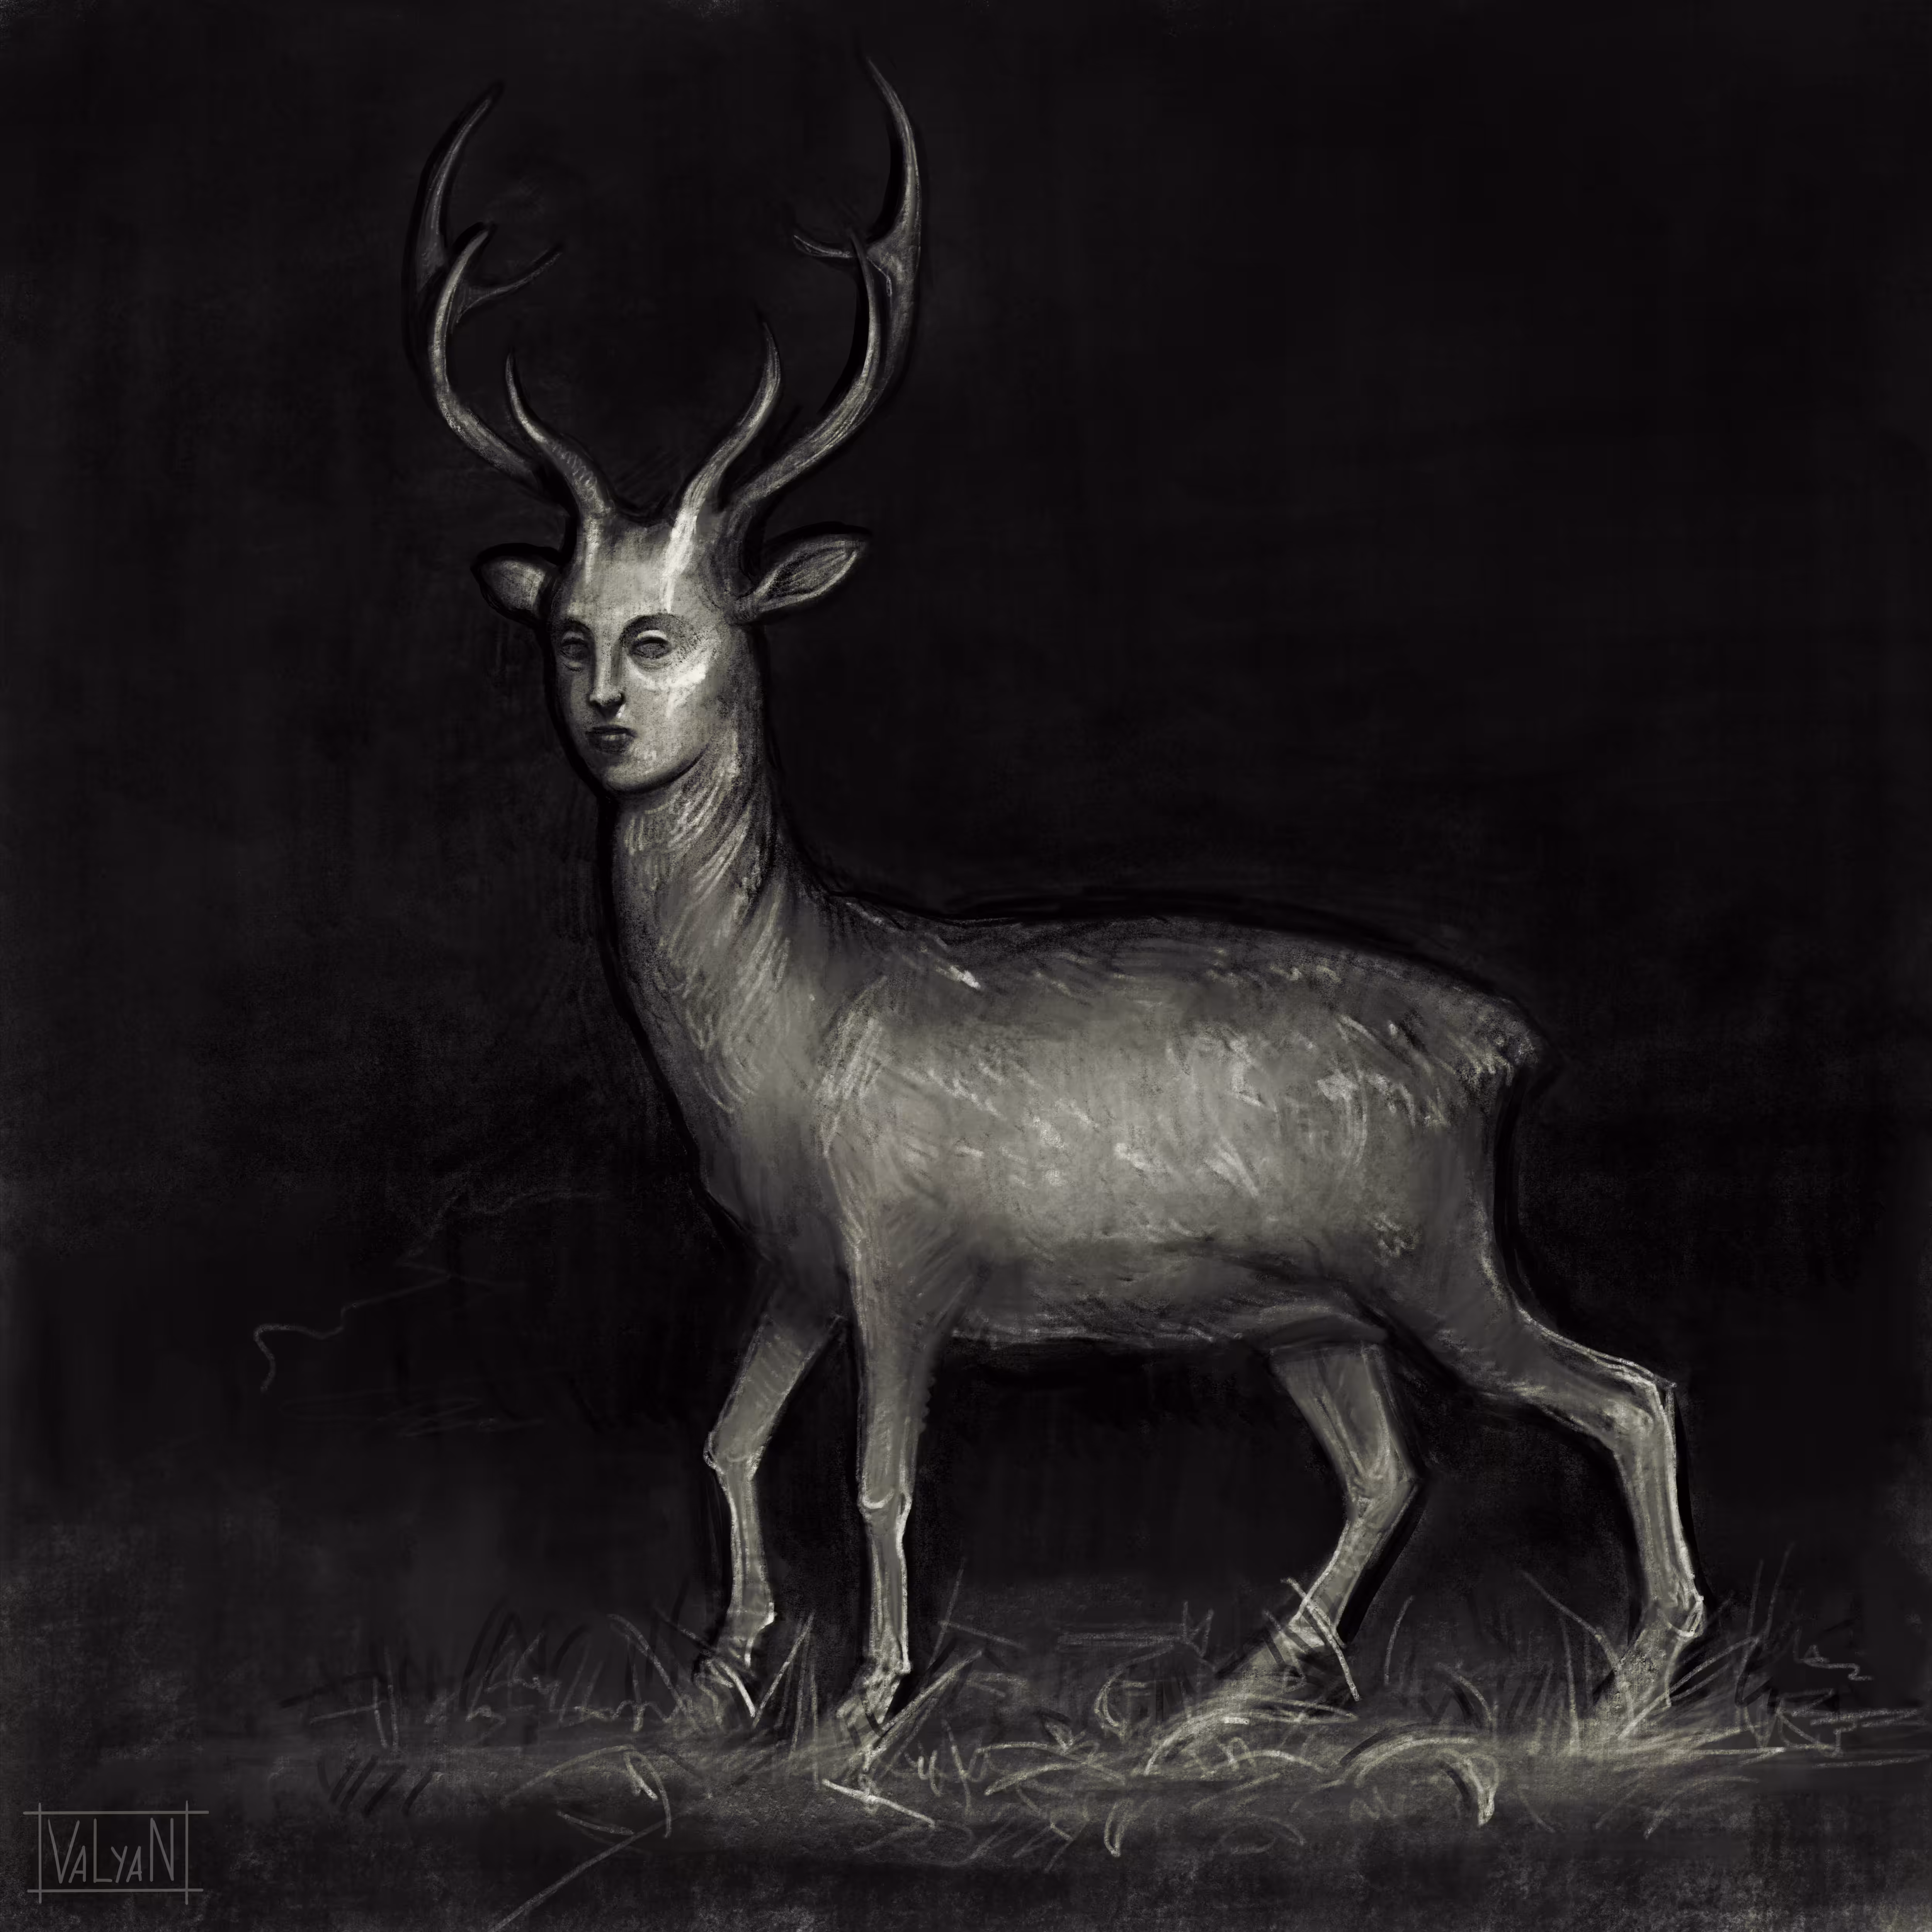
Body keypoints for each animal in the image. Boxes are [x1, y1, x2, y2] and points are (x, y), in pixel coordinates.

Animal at [403, 67, 1707, 1745]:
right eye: (567, 630)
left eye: (671, 631)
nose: (612, 717)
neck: (782, 1027)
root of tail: (1510, 1046)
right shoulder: (790, 1263)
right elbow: (724, 1440)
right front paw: (713, 1680)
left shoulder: (907, 1243)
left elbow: (879, 1477)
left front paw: (864, 1703)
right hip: (1311, 1307)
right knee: (1388, 1467)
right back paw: (1220, 1702)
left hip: (1430, 1247)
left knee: (1626, 1391)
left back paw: (1627, 1689)